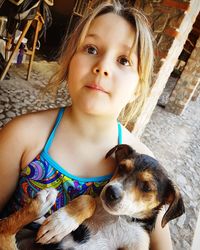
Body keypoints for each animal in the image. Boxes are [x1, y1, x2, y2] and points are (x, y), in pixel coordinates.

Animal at [0, 145, 185, 250]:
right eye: (121, 167)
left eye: (147, 187)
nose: (111, 192)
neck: (118, 218)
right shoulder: (94, 202)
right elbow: (88, 199)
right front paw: (60, 223)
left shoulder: (138, 245)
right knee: (4, 229)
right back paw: (42, 206)